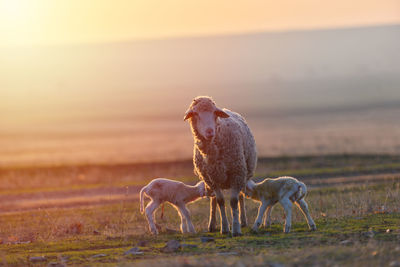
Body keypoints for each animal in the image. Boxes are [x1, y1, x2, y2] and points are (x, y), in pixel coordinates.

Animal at [184, 96, 256, 237]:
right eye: (196, 114)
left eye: (214, 113)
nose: (210, 131)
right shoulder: (213, 179)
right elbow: (220, 201)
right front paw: (225, 228)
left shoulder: (237, 173)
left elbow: (234, 201)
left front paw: (236, 228)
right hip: (210, 181)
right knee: (213, 200)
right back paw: (212, 225)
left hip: (242, 174)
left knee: (241, 196)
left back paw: (243, 221)